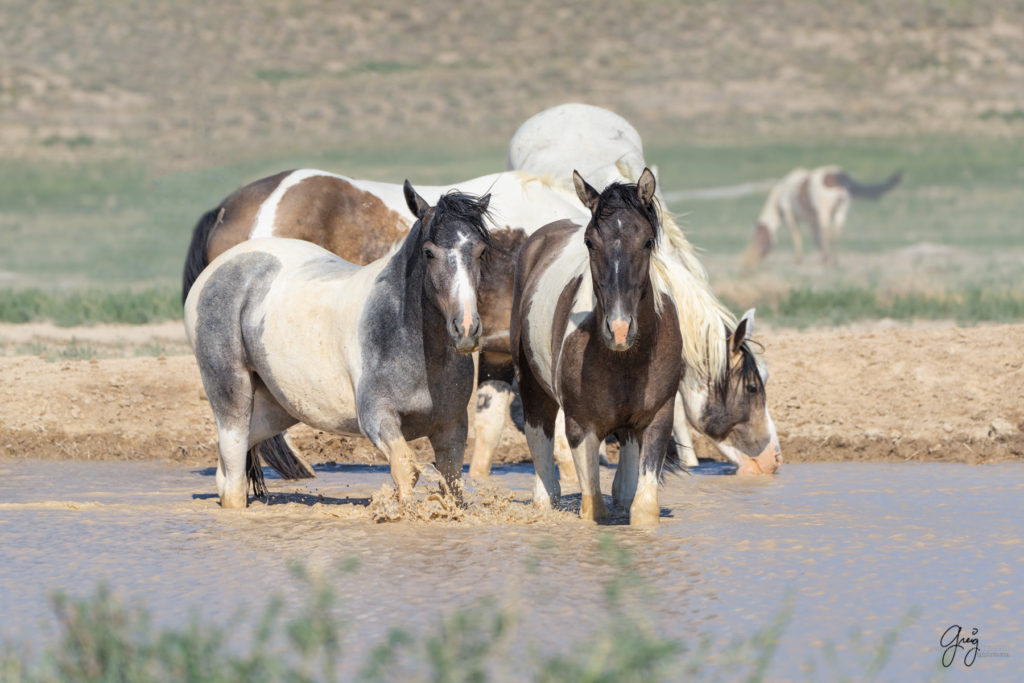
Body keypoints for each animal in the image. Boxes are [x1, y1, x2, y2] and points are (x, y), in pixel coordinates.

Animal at [186, 181, 493, 507]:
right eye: (429, 252)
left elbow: (452, 483)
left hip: (279, 406)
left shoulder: (451, 428)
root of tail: (215, 270)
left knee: (231, 464)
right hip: (232, 393)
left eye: (480, 250)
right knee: (233, 473)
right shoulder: (378, 418)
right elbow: (407, 469)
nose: (466, 328)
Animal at [509, 167, 679, 528]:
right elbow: (593, 509)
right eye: (589, 242)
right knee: (540, 442)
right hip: (532, 388)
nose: (619, 329)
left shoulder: (658, 418)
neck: (624, 359)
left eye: (647, 241)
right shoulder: (581, 428)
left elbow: (644, 508)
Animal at [741, 166, 901, 268]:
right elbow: (816, 240)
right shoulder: (813, 220)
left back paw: (827, 259)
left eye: (760, 239)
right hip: (841, 210)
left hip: (825, 210)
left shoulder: (790, 217)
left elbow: (797, 236)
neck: (779, 198)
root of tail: (837, 175)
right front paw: (823, 256)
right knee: (837, 232)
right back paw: (834, 259)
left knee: (827, 231)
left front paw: (800, 260)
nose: (753, 261)